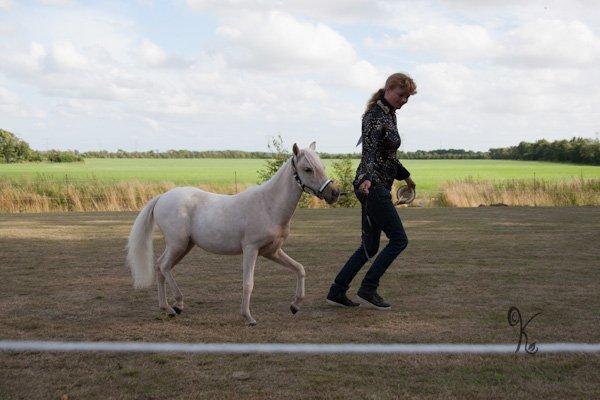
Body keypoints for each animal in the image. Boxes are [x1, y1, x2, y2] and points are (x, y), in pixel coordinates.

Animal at [127, 143, 340, 324]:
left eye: (322, 165)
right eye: (308, 169)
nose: (334, 193)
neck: (268, 205)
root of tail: (162, 197)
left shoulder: (272, 252)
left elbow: (299, 269)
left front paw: (295, 305)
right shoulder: (251, 250)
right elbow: (248, 283)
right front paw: (248, 317)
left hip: (184, 246)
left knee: (160, 267)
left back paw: (169, 307)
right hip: (177, 245)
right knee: (163, 267)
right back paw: (175, 305)